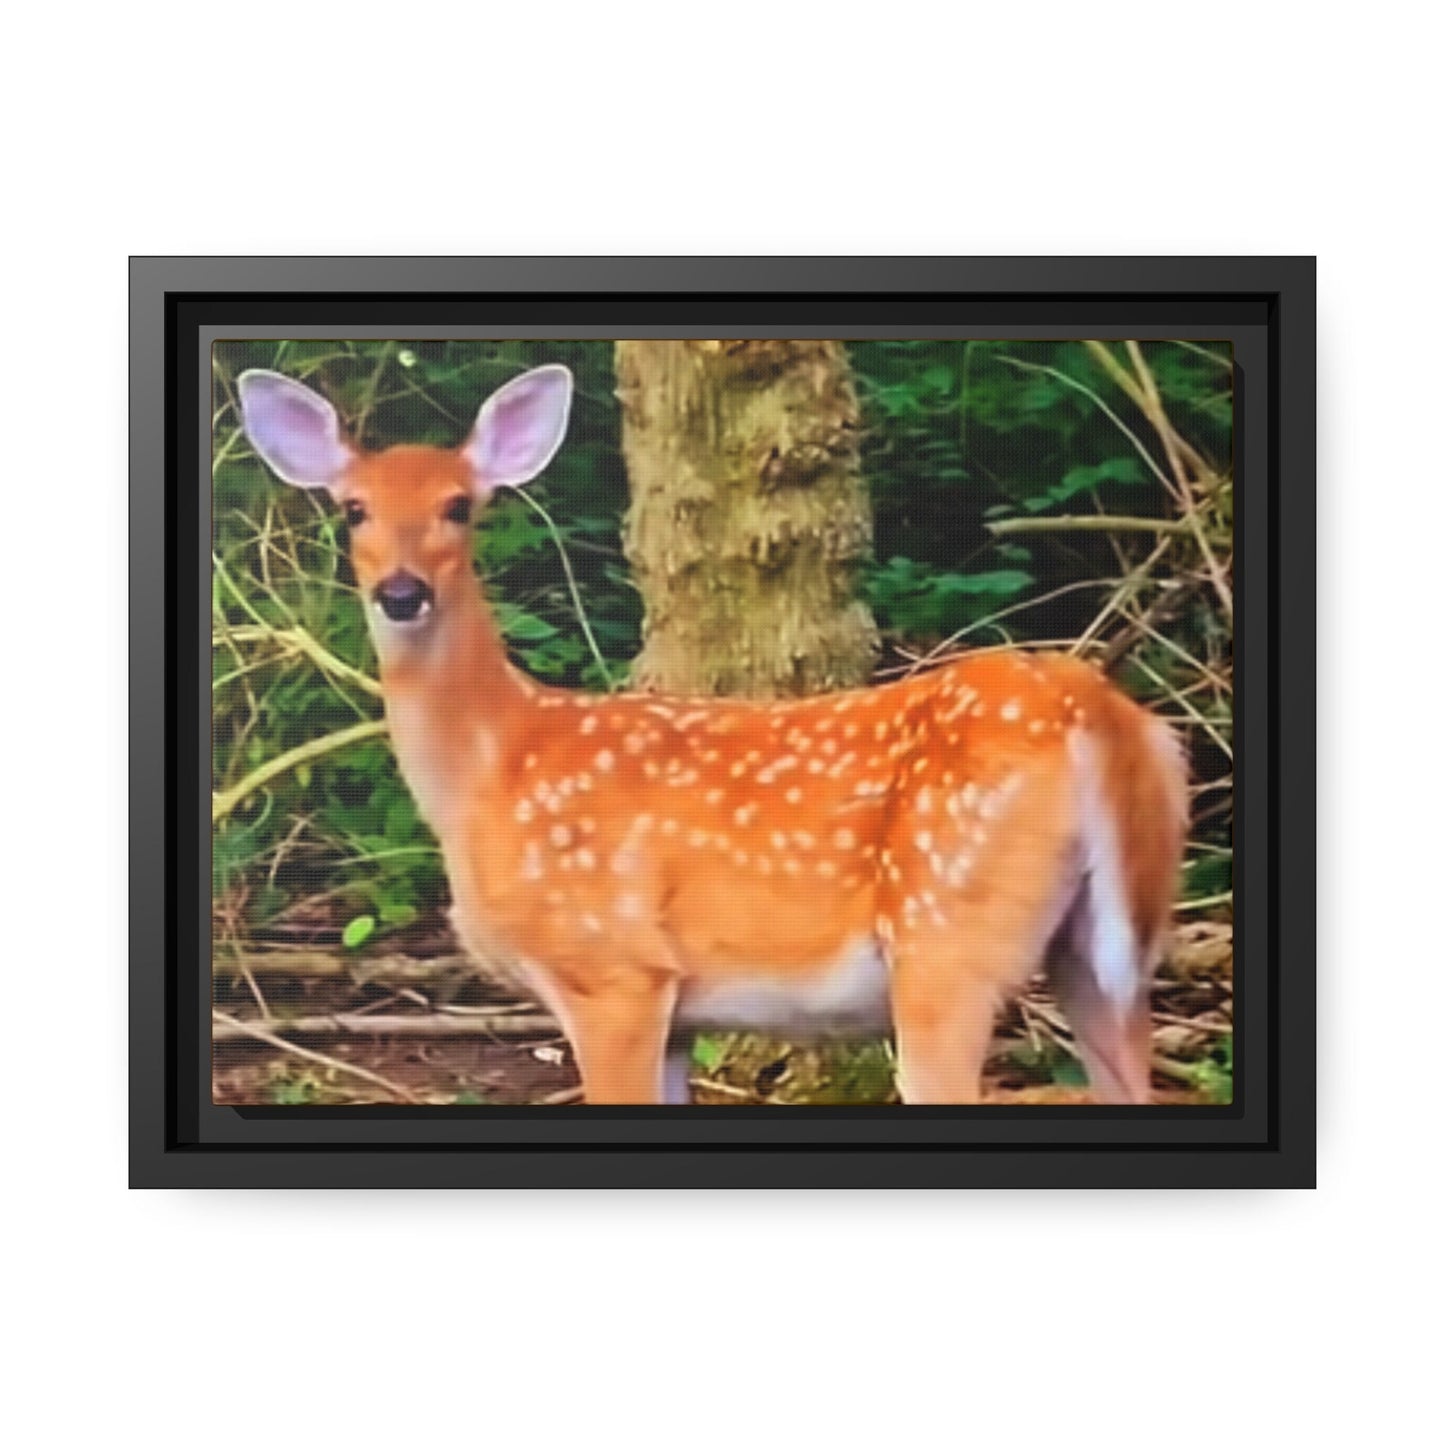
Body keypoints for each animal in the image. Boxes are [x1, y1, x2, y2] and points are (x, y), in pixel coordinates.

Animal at [236, 362, 1189, 1105]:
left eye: (460, 507)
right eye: (353, 509)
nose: (401, 593)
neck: (492, 769)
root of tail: (1096, 709)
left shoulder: (613, 969)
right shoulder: (678, 1011)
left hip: (947, 936)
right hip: (1105, 948)